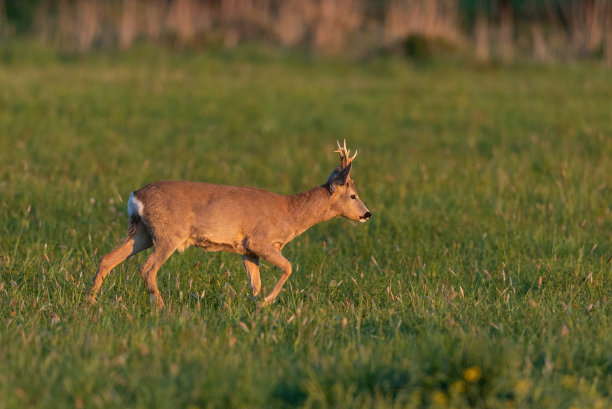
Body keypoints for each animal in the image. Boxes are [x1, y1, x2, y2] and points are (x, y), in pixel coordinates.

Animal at [88, 139, 370, 308]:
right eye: (353, 195)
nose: (367, 214)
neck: (291, 212)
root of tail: (136, 197)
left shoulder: (247, 251)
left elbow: (255, 283)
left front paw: (255, 307)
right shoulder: (260, 241)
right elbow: (289, 267)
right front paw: (266, 302)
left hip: (143, 232)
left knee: (107, 259)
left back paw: (90, 303)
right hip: (169, 235)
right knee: (147, 268)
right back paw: (162, 309)